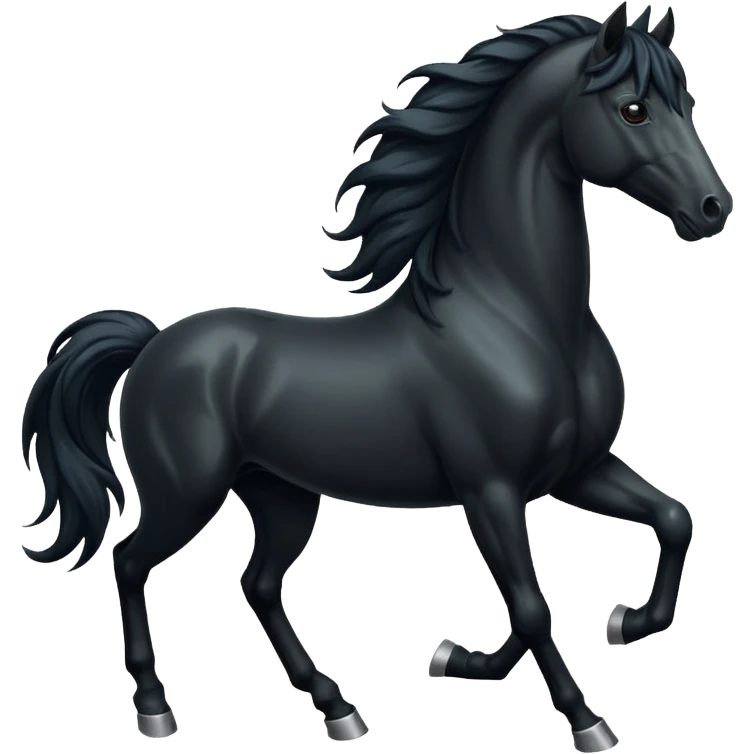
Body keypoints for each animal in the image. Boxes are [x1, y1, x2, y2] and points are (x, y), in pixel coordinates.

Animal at [20, 4, 730, 751]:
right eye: (632, 109)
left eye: (687, 104)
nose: (713, 209)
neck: (520, 317)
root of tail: (155, 341)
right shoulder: (491, 489)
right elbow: (533, 608)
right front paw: (587, 720)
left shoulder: (577, 470)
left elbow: (672, 519)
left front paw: (585, 631)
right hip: (187, 492)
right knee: (130, 561)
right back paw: (156, 709)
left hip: (280, 494)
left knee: (259, 583)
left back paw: (338, 708)